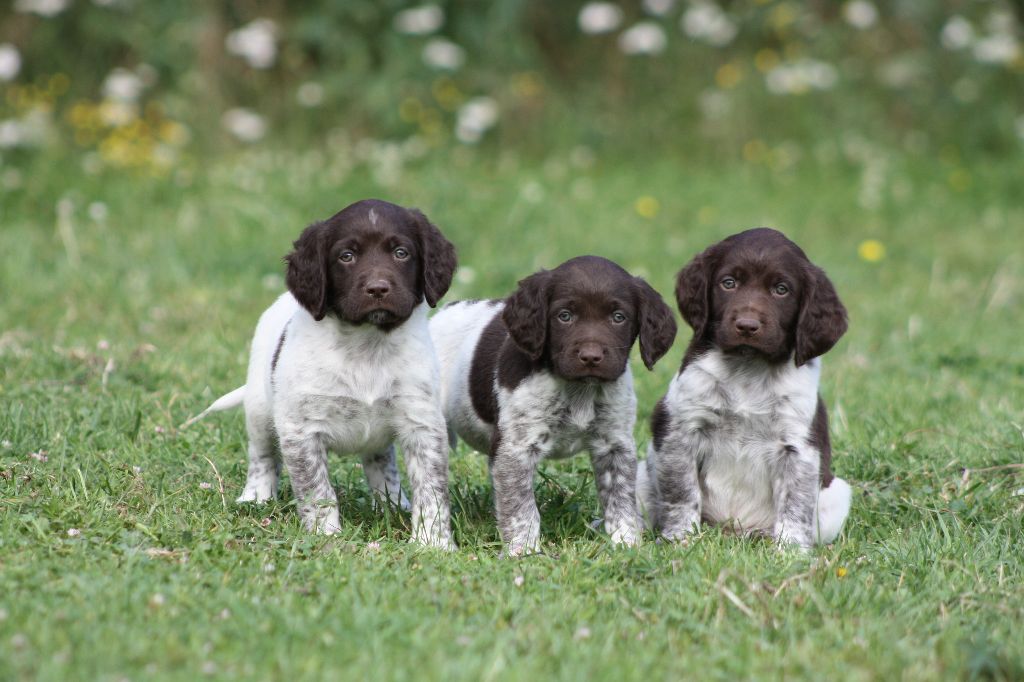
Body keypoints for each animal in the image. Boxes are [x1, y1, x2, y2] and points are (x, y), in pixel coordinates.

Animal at [191, 196, 460, 548]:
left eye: (401, 253)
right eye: (346, 256)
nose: (378, 289)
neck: (366, 346)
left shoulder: (422, 423)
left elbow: (431, 491)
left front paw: (433, 543)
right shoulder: (300, 429)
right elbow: (317, 491)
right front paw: (326, 536)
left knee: (382, 462)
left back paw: (391, 502)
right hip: (260, 409)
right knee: (262, 455)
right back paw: (256, 497)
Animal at [428, 254, 675, 552]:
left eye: (619, 318)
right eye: (564, 316)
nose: (591, 357)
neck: (578, 389)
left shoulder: (615, 444)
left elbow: (620, 500)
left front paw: (626, 544)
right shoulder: (517, 447)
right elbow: (521, 507)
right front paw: (523, 550)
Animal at [638, 228, 847, 548]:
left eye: (781, 289)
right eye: (728, 283)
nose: (747, 326)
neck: (748, 369)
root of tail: (732, 531)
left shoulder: (799, 447)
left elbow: (795, 505)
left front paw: (790, 551)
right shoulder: (680, 431)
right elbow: (682, 494)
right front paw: (681, 539)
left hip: (836, 495)